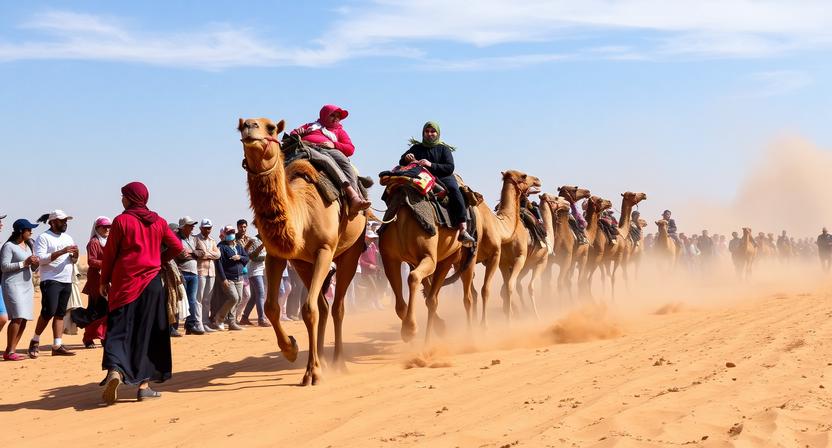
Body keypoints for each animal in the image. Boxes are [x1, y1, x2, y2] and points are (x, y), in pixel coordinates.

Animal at [238, 118, 367, 386]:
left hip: (351, 251)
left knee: (337, 307)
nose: (249, 126)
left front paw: (312, 373)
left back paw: (338, 362)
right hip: (303, 264)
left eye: (270, 128)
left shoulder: (324, 249)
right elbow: (272, 307)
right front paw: (291, 350)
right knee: (323, 306)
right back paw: (324, 361)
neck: (302, 212)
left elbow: (308, 309)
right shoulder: (278, 255)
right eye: (240, 125)